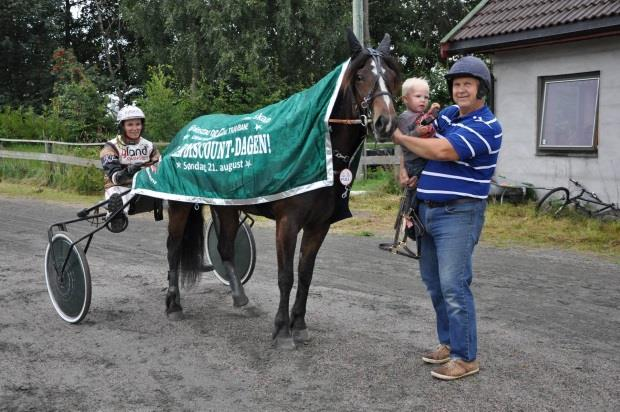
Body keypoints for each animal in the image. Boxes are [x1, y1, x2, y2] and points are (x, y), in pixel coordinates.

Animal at [162, 30, 400, 350]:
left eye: (391, 75)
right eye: (361, 75)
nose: (386, 122)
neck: (319, 147)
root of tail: (184, 134)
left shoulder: (319, 225)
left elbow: (305, 274)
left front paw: (299, 324)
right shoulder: (288, 222)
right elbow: (285, 276)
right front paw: (282, 331)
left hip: (227, 207)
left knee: (225, 249)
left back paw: (241, 300)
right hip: (180, 204)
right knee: (173, 249)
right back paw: (173, 305)